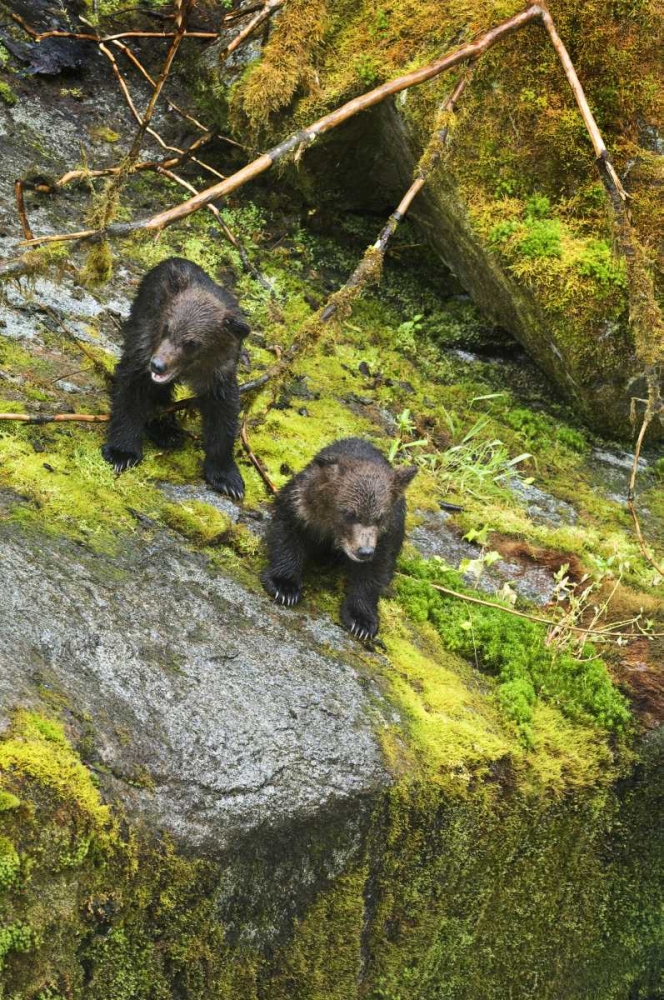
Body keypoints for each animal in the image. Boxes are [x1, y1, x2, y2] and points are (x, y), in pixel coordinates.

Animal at [102, 256, 249, 500]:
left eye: (191, 343)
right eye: (167, 327)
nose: (157, 364)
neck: (192, 368)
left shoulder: (219, 373)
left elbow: (223, 416)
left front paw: (227, 478)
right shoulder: (146, 341)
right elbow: (131, 390)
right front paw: (121, 453)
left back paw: (167, 430)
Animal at [261, 437, 417, 640]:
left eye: (380, 517)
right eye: (349, 513)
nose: (364, 551)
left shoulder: (386, 535)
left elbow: (374, 573)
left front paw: (362, 621)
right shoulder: (303, 506)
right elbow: (287, 535)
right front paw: (284, 586)